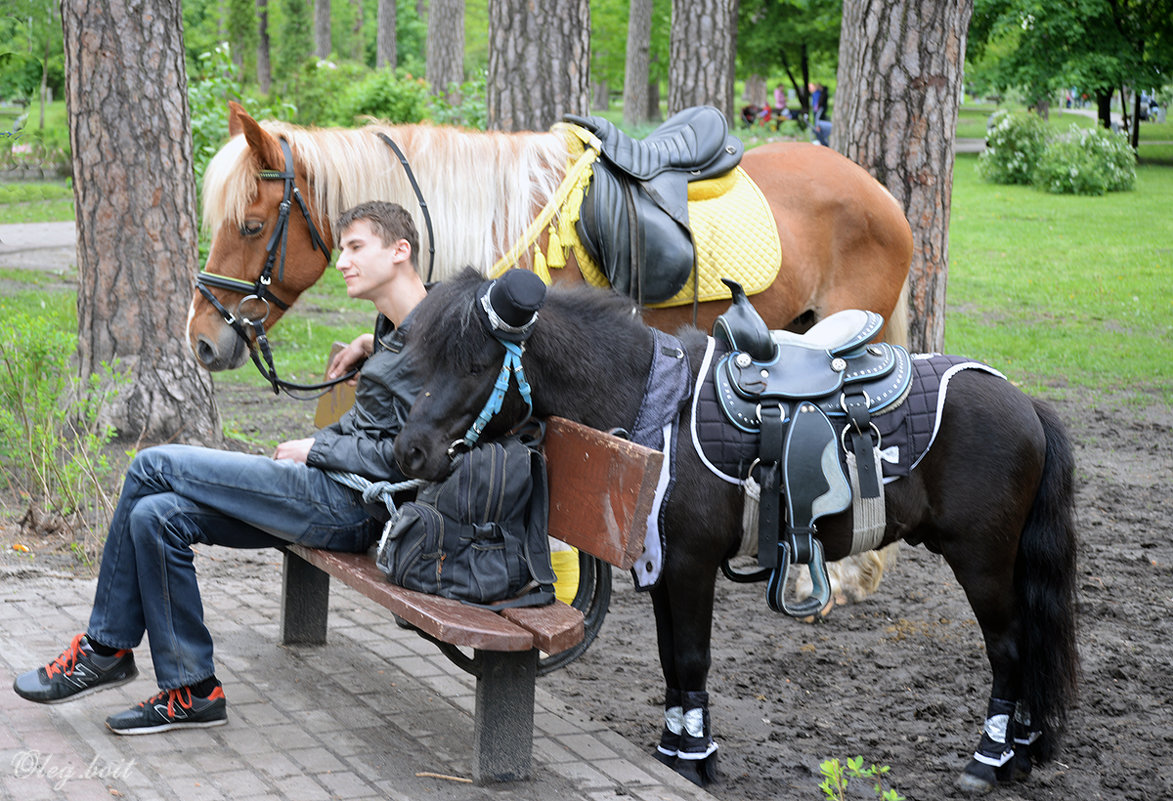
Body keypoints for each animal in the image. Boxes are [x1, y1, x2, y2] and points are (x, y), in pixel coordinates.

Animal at [394, 266, 1079, 792]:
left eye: (477, 364)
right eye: (428, 359)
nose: (409, 451)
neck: (657, 412)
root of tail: (1028, 404)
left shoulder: (692, 565)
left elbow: (692, 658)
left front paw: (696, 760)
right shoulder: (662, 566)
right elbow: (671, 660)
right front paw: (675, 749)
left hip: (982, 559)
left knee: (1009, 648)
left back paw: (988, 761)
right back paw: (1020, 750)